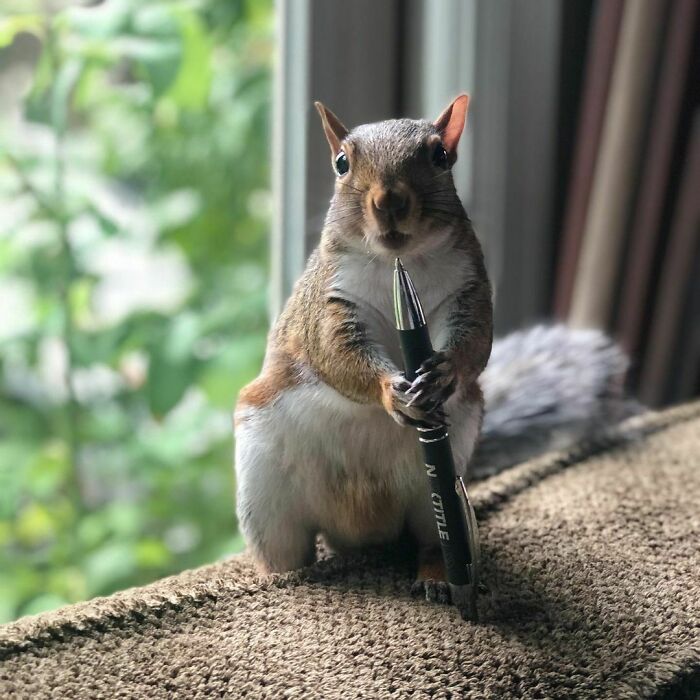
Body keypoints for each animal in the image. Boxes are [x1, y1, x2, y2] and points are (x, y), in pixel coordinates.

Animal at [234, 95, 637, 611]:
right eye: (341, 163)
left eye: (440, 156)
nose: (389, 202)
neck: (398, 261)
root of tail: (362, 534)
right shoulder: (330, 301)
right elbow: (335, 350)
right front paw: (391, 391)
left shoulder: (469, 290)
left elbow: (475, 342)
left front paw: (445, 373)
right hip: (267, 493)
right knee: (286, 554)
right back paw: (278, 578)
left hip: (436, 493)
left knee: (432, 540)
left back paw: (440, 578)